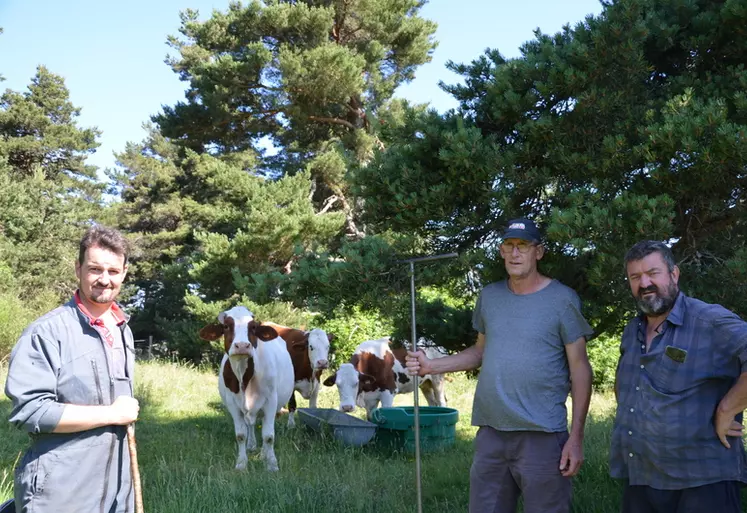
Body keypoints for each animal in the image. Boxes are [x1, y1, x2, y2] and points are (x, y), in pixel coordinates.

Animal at [200, 306, 296, 470]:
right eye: (226, 326)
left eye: (253, 327)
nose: (242, 346)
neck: (244, 377)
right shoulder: (232, 404)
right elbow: (240, 435)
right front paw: (241, 464)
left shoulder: (271, 401)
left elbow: (268, 436)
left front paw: (271, 464)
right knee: (250, 425)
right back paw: (251, 446)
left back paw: (264, 453)